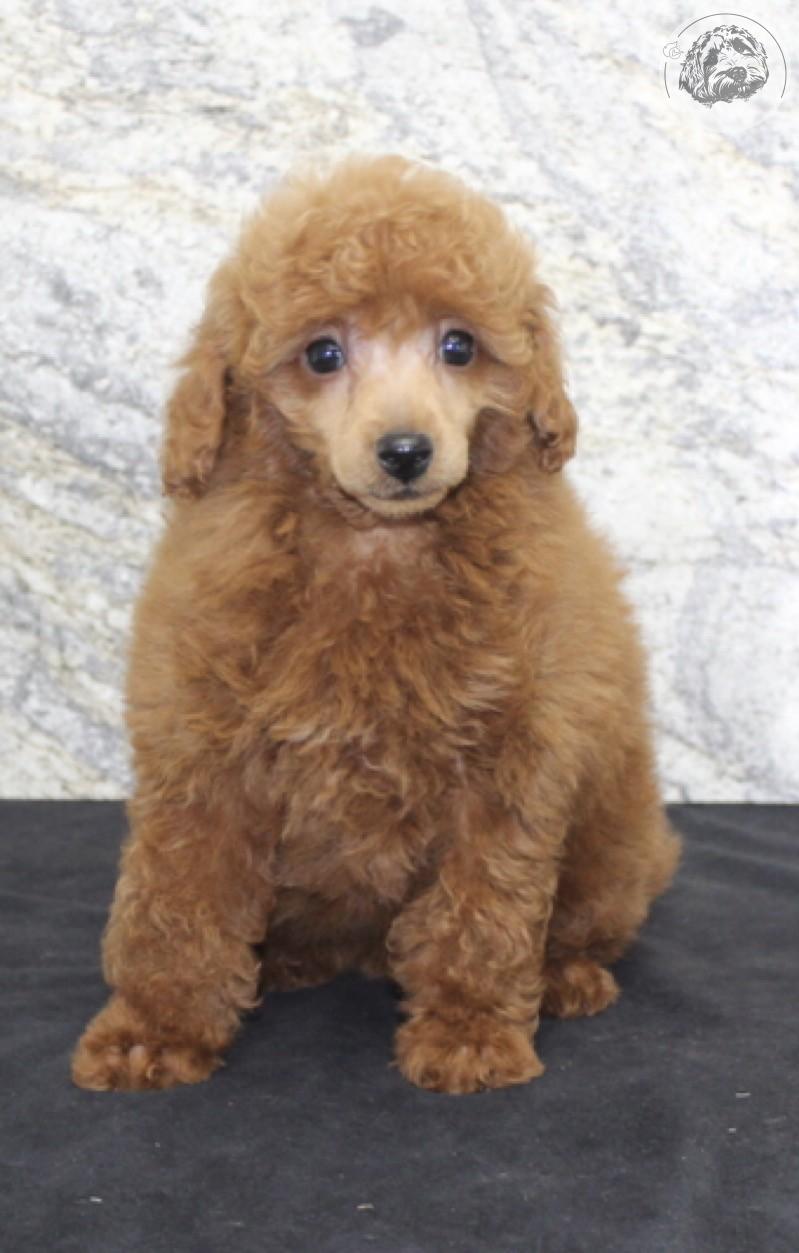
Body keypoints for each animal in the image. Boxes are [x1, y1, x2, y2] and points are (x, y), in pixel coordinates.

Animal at [72, 156, 680, 1094]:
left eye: (458, 346)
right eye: (323, 354)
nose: (404, 451)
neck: (374, 547)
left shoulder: (510, 757)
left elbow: (484, 907)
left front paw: (468, 1031)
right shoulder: (203, 749)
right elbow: (178, 898)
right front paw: (153, 1030)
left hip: (613, 841)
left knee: (583, 916)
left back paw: (564, 975)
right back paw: (286, 961)